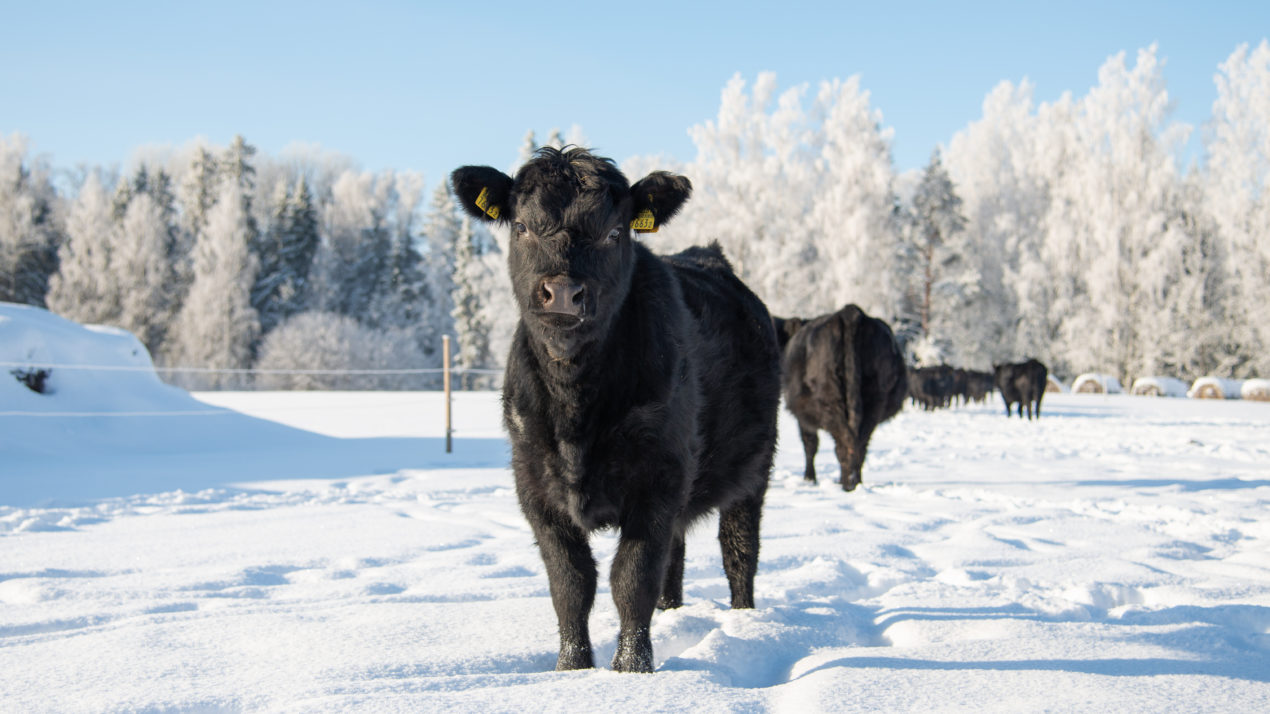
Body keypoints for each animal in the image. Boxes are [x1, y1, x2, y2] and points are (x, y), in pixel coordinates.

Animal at [447, 147, 782, 670]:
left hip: (754, 467)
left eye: (613, 232)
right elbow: (570, 583)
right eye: (521, 226)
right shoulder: (534, 487)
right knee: (675, 559)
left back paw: (746, 621)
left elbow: (632, 578)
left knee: (739, 550)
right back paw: (672, 614)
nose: (563, 293)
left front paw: (632, 669)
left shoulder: (658, 480)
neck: (575, 409)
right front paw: (572, 668)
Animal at [767, 302, 909, 492]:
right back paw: (854, 481)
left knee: (844, 443)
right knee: (860, 444)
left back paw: (846, 483)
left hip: (829, 399)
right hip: (875, 399)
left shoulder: (802, 415)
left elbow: (810, 444)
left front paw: (809, 479)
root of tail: (850, 312)